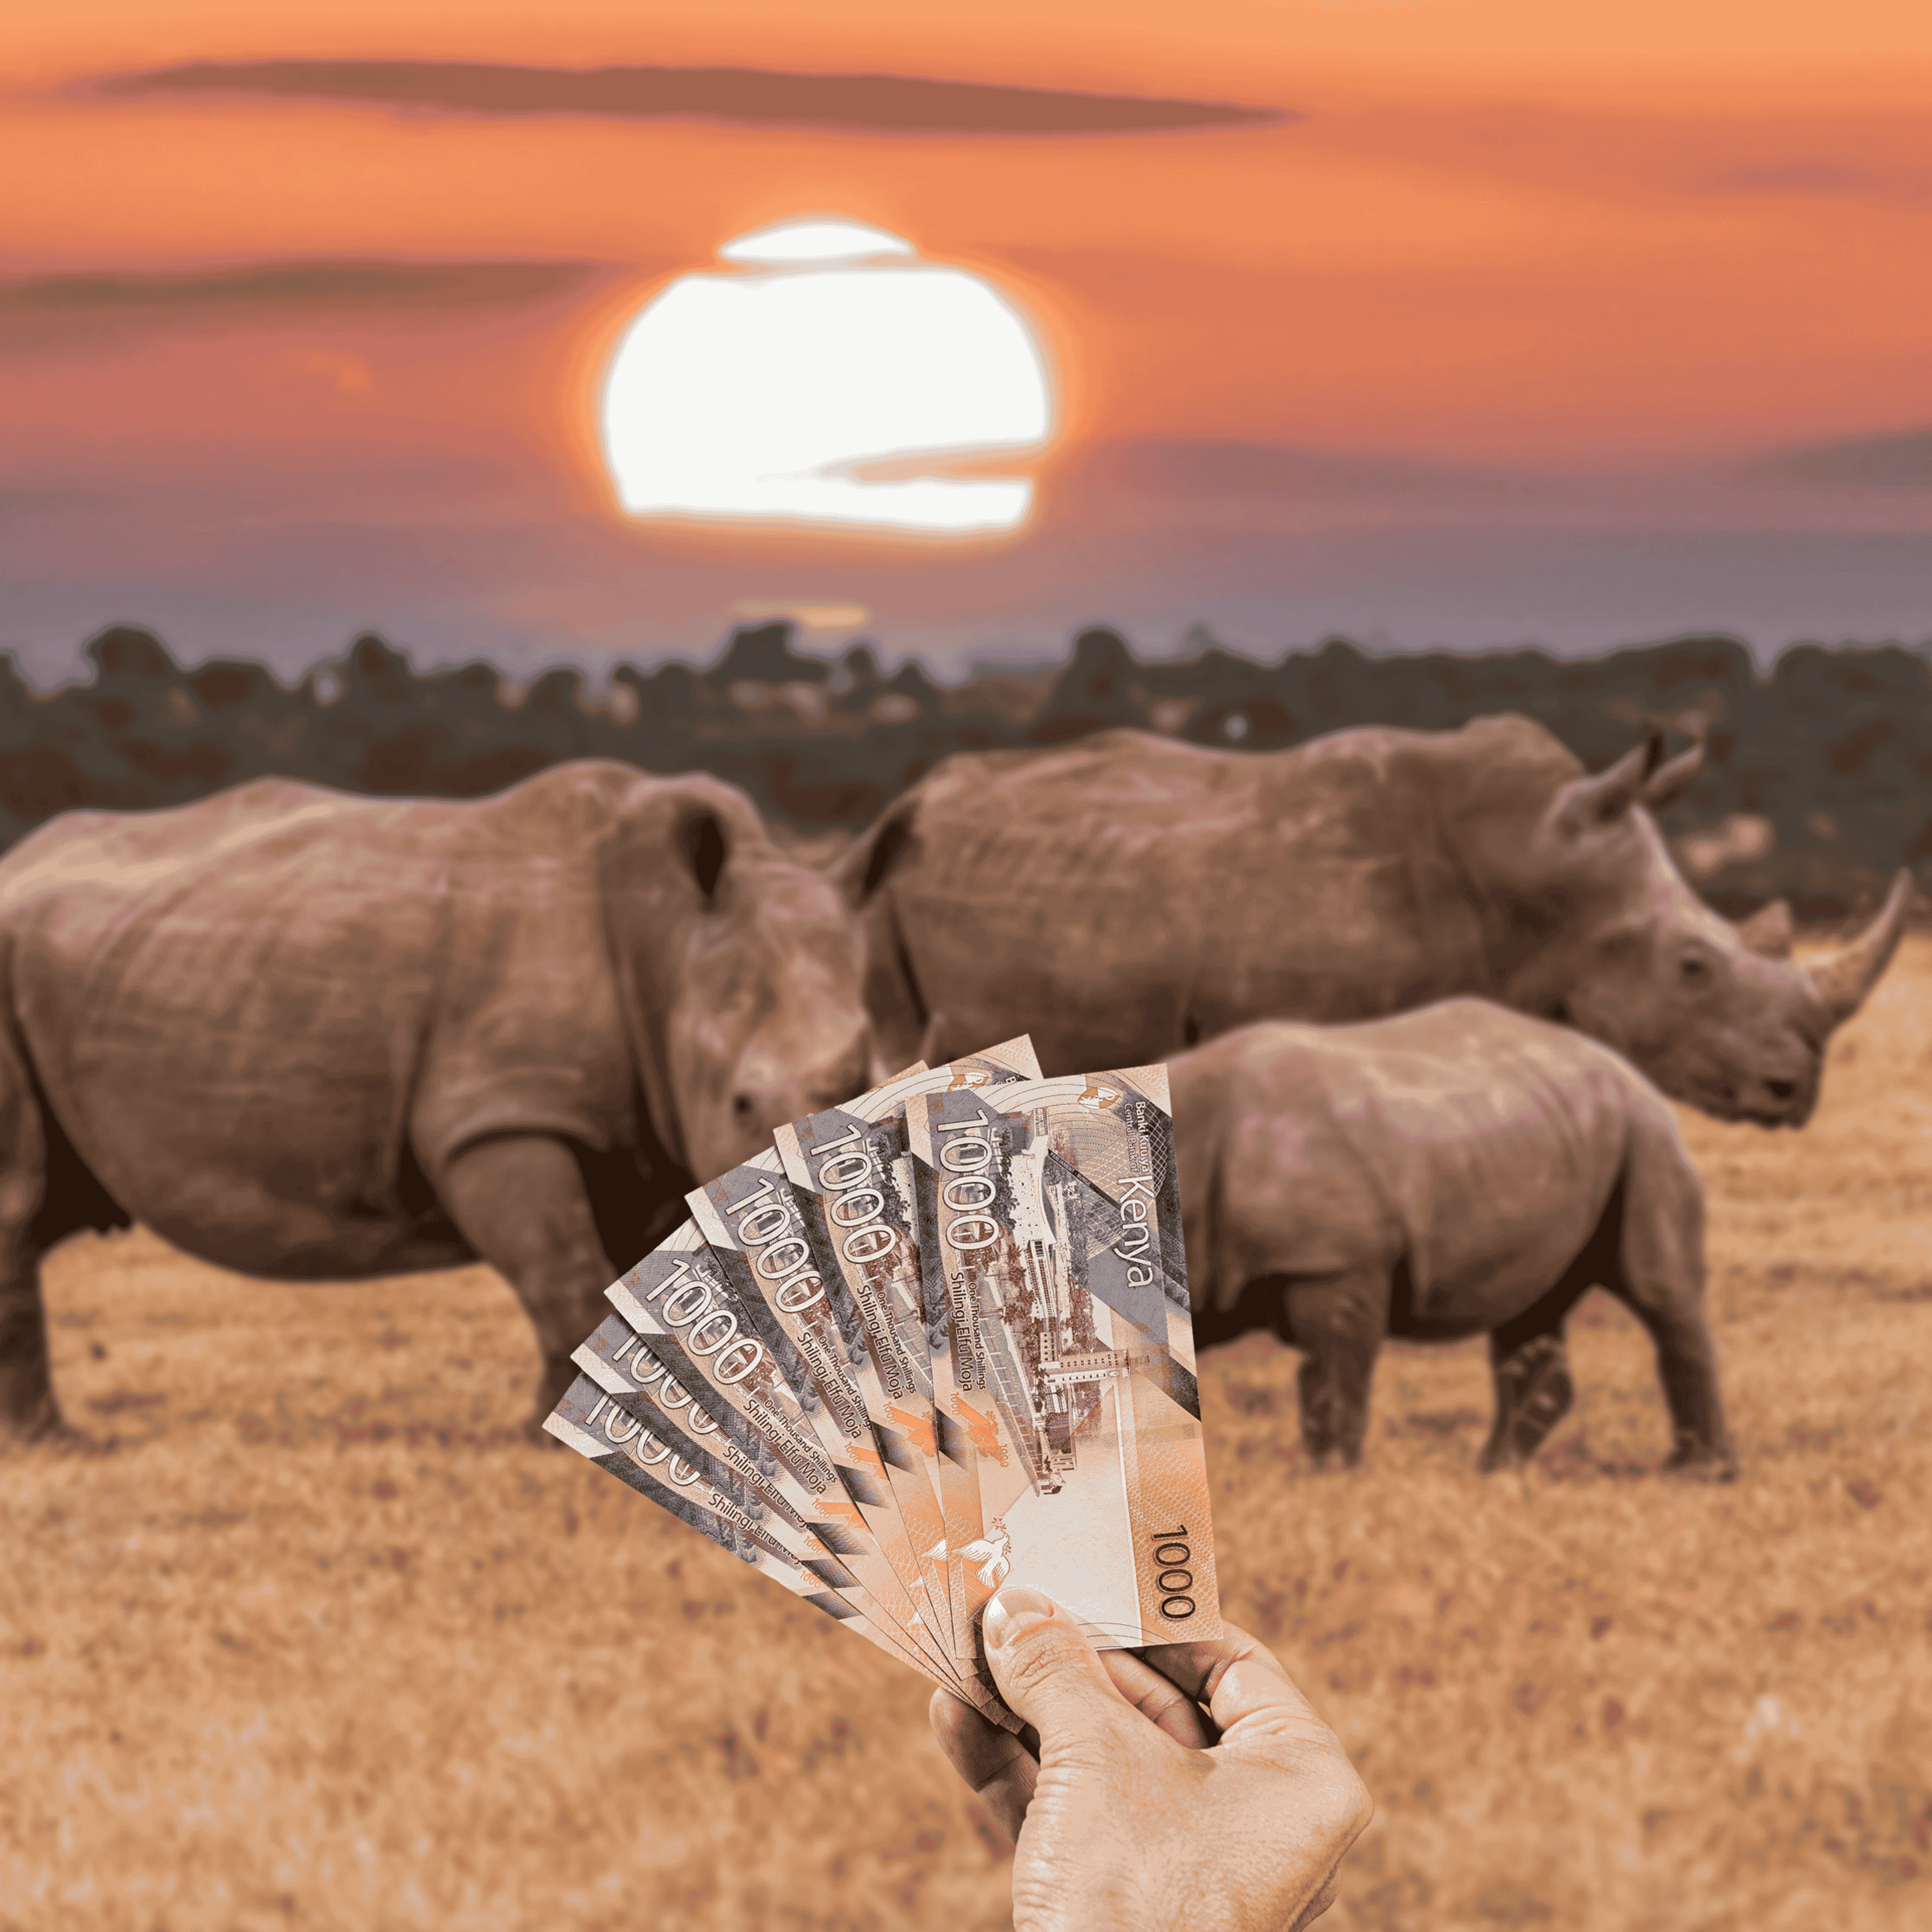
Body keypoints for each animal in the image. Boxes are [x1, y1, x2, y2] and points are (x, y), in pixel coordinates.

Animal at [0, 761, 878, 1446]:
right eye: (741, 1103)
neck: (668, 937)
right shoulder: (500, 1113)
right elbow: (561, 1269)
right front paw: (560, 1438)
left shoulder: (642, 1138)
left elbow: (622, 1292)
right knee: (20, 1197)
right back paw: (52, 1445)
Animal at [1170, 999, 1728, 1476]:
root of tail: (1635, 1075)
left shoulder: (1334, 1262)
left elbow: (1332, 1381)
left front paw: (1330, 1479)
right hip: (1551, 1131)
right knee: (1532, 1304)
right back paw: (1496, 1471)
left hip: (1645, 1134)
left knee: (1659, 1293)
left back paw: (1695, 1473)